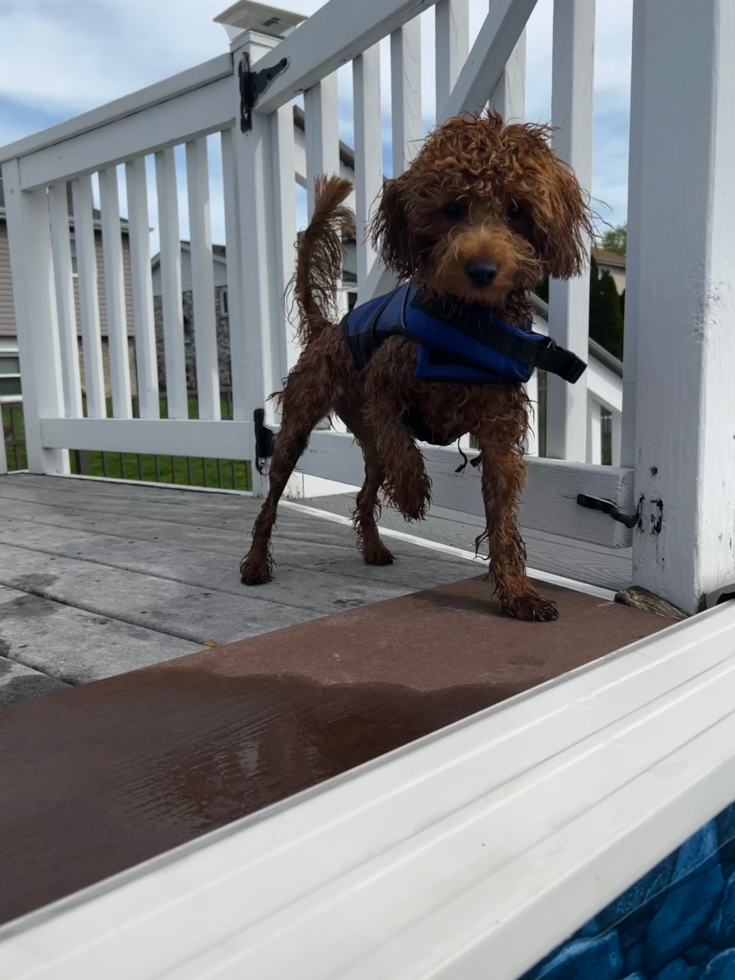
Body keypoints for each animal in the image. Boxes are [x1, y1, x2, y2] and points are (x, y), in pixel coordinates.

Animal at [239, 111, 596, 624]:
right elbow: (403, 448)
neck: (467, 327)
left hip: (365, 444)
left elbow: (503, 522)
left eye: (516, 210)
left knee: (364, 493)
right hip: (296, 430)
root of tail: (326, 328)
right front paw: (411, 494)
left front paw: (517, 594)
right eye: (451, 209)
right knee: (272, 501)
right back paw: (254, 563)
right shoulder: (385, 390)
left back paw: (372, 548)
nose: (482, 269)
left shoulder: (499, 434)